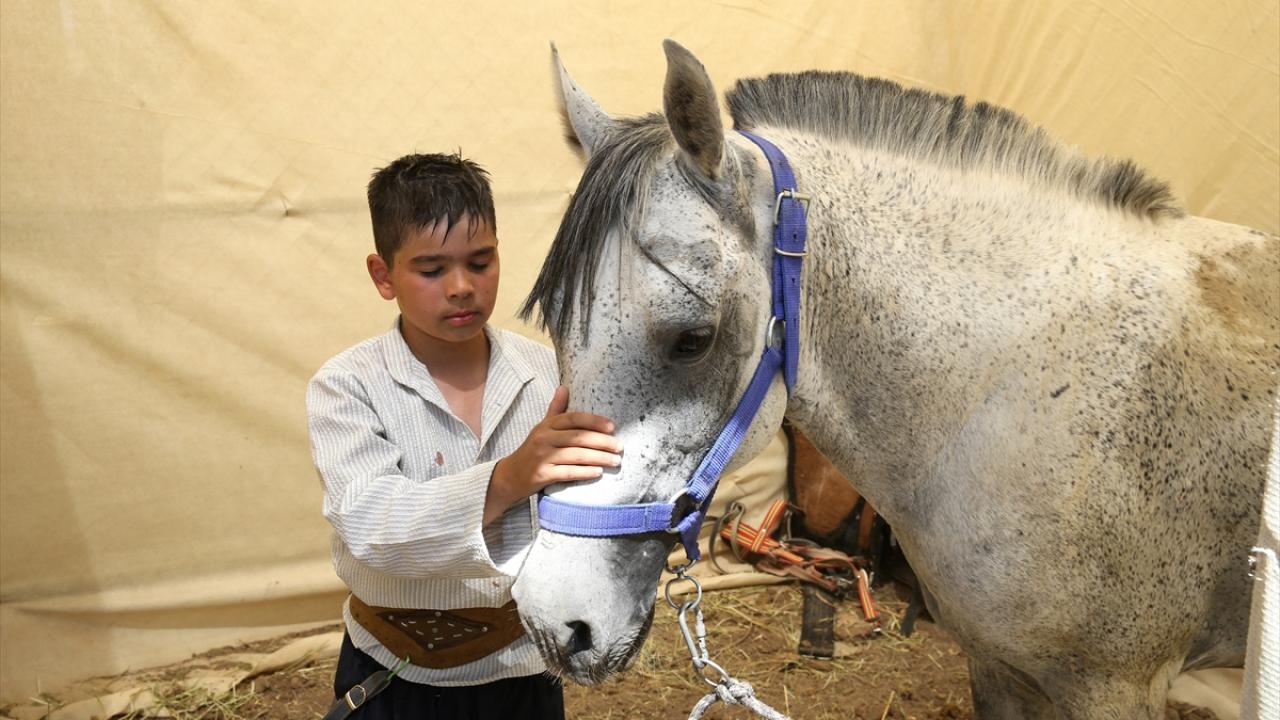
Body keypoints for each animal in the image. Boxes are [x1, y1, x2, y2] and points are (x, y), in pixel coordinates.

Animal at [510, 40, 1279, 719]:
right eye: (557, 323)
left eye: (691, 339)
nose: (552, 621)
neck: (1019, 397)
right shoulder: (996, 669)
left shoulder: (1115, 687)